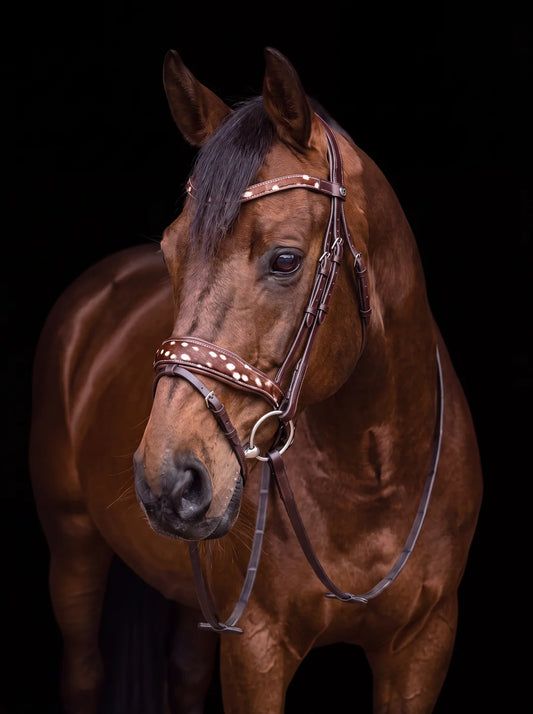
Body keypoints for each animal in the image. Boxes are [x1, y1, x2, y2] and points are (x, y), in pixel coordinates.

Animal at [30, 47, 482, 713]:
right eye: (169, 252)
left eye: (286, 259)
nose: (168, 480)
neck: (371, 478)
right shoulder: (256, 650)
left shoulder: (423, 645)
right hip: (73, 548)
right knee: (84, 671)